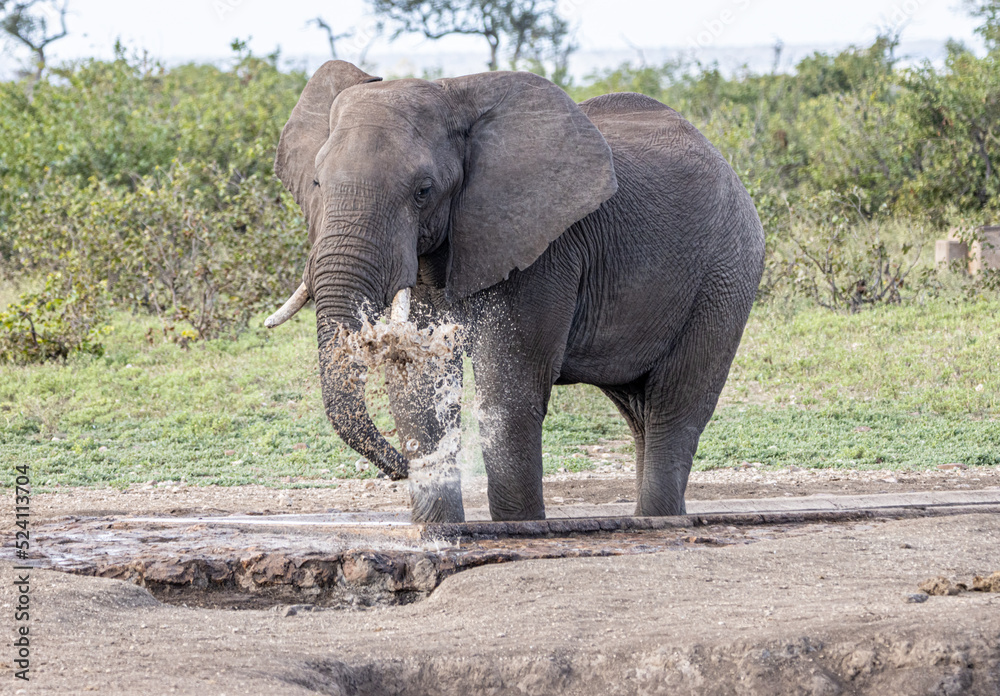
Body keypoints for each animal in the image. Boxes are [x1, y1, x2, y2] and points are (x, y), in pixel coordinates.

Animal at [264, 60, 764, 524]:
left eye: (423, 190)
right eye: (316, 183)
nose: (398, 470)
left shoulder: (543, 249)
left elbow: (508, 397)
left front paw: (517, 528)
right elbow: (421, 389)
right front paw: (438, 532)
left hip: (724, 277)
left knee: (674, 410)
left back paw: (660, 521)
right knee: (639, 411)